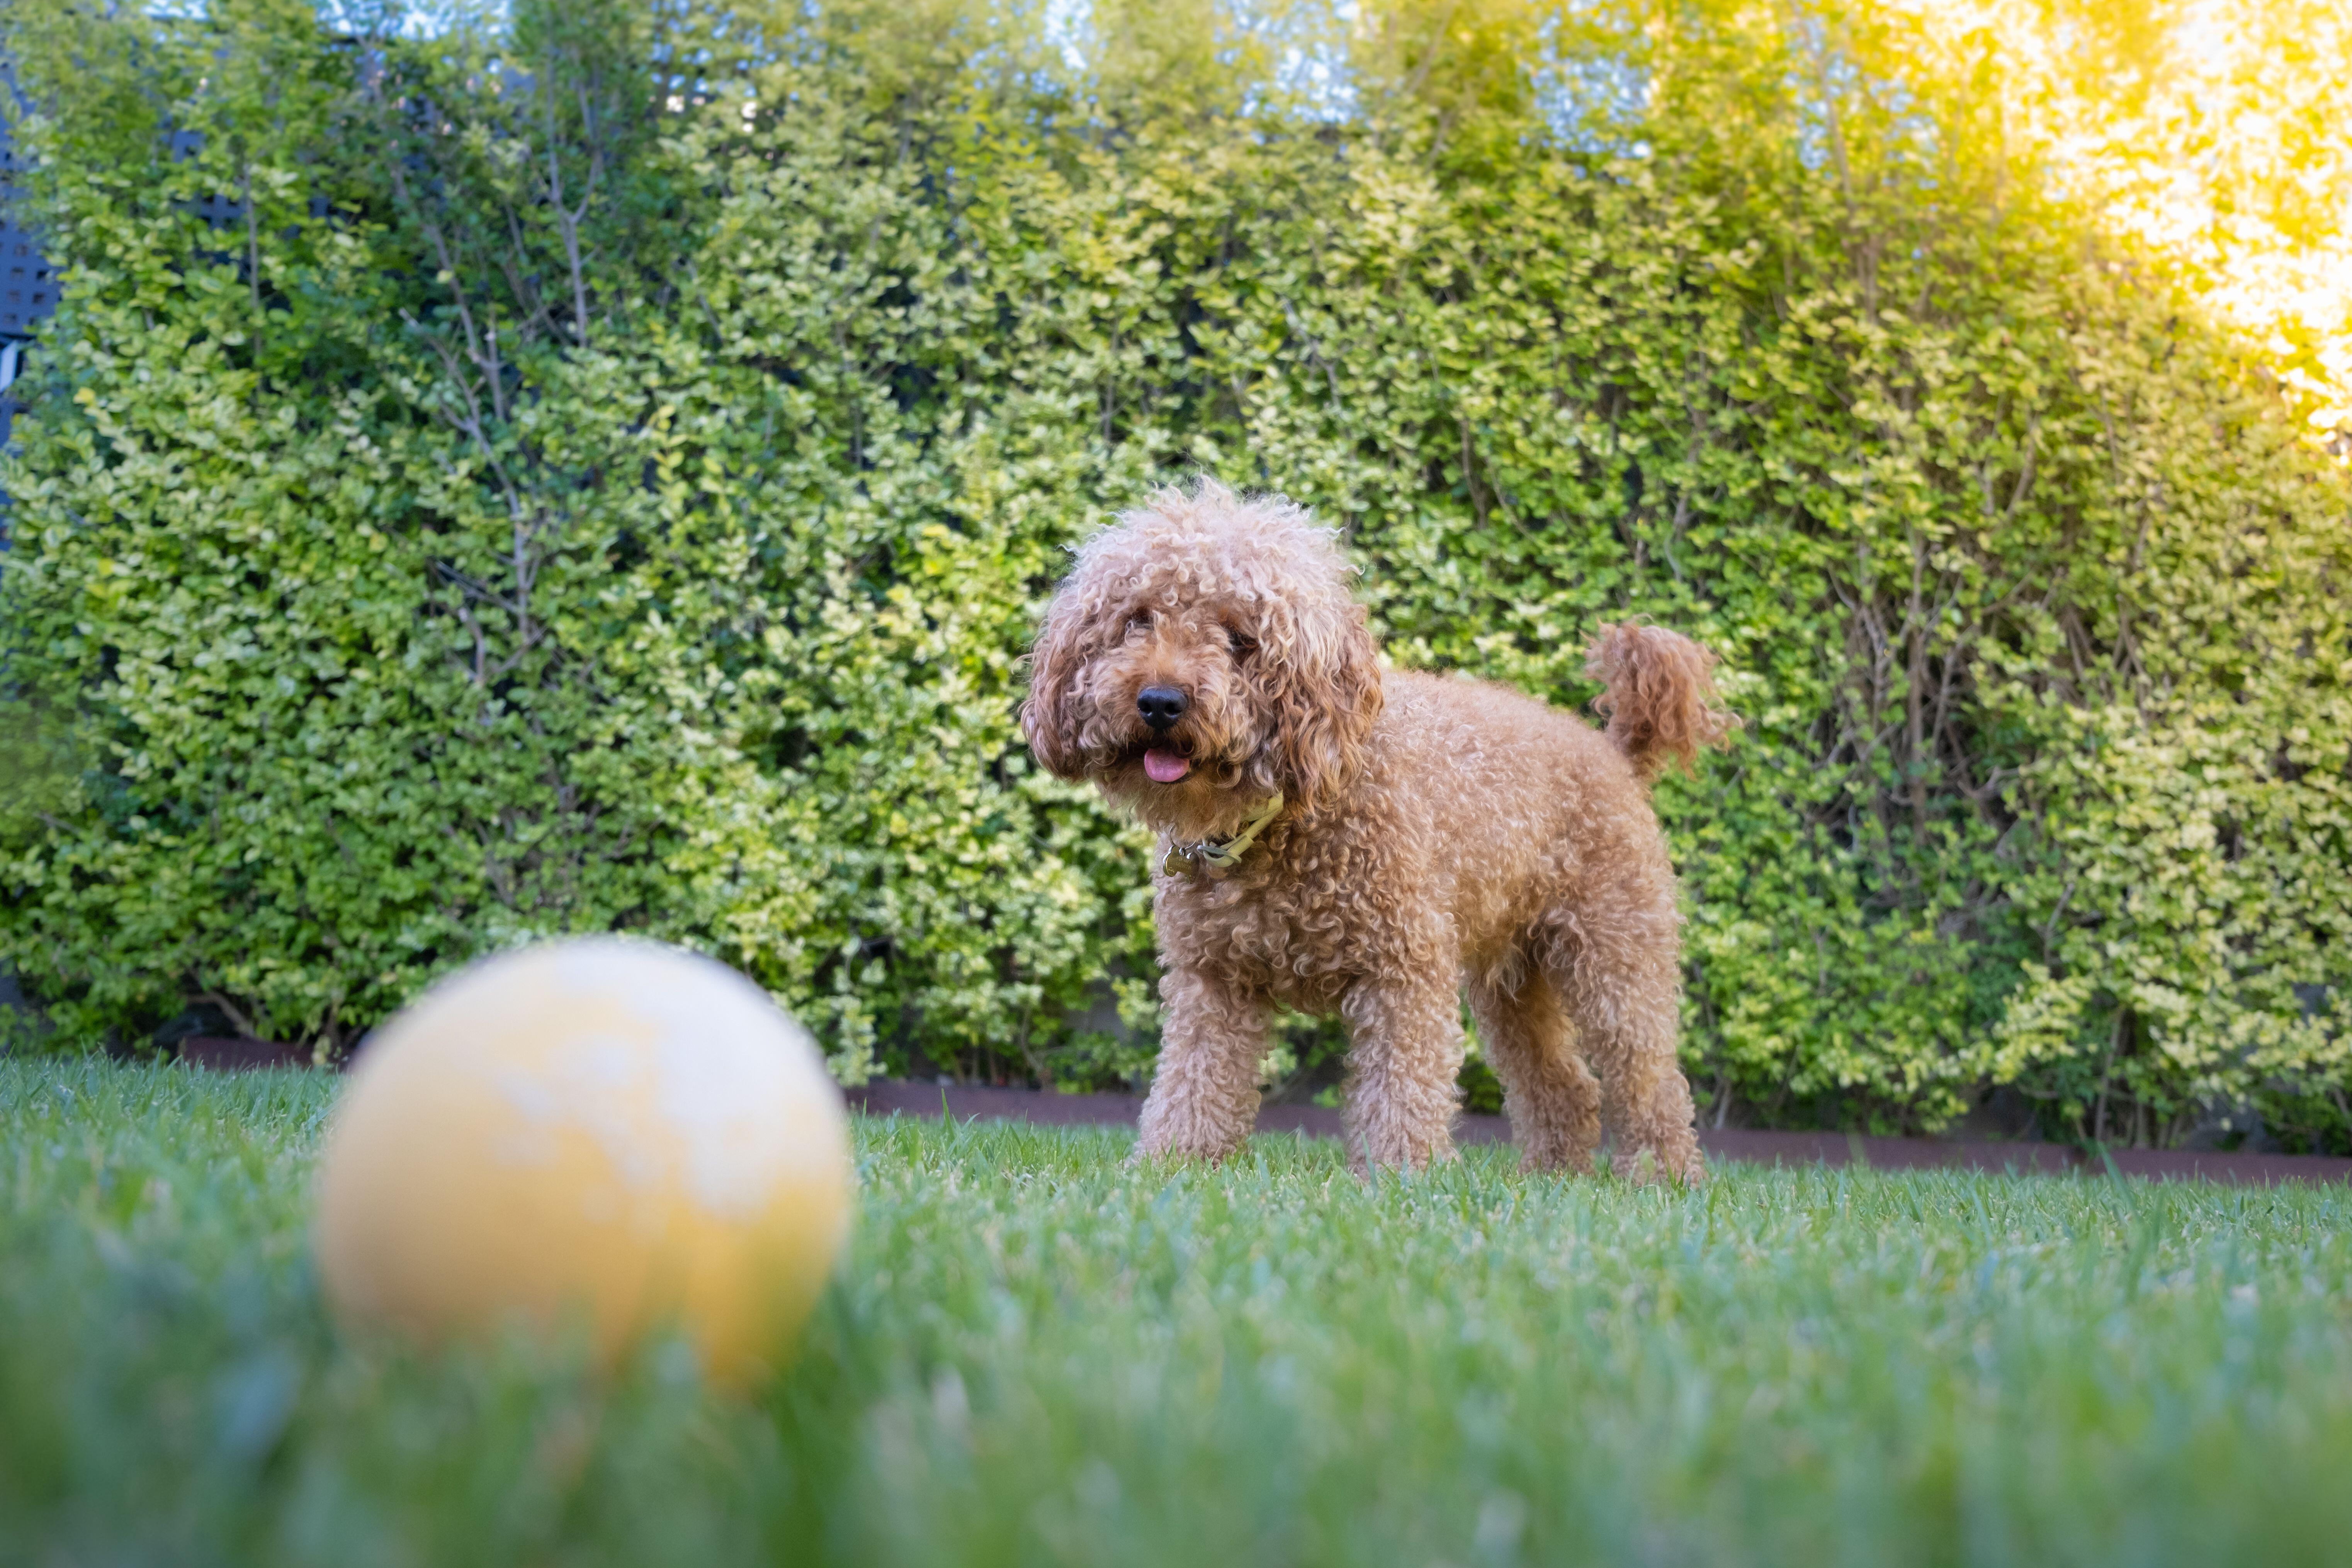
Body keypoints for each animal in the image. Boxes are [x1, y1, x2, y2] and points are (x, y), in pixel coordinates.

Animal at [1021, 484, 1740, 1185]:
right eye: (1137, 618)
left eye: (1241, 637)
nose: (1160, 701)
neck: (1283, 814)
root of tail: (1614, 751)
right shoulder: (1211, 980)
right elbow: (1193, 1084)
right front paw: (1172, 1167)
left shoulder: (1404, 970)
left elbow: (1402, 1087)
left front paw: (1403, 1181)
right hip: (1513, 976)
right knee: (1563, 1082)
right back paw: (1550, 1177)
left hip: (1614, 954)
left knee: (1648, 1077)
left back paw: (1664, 1176)